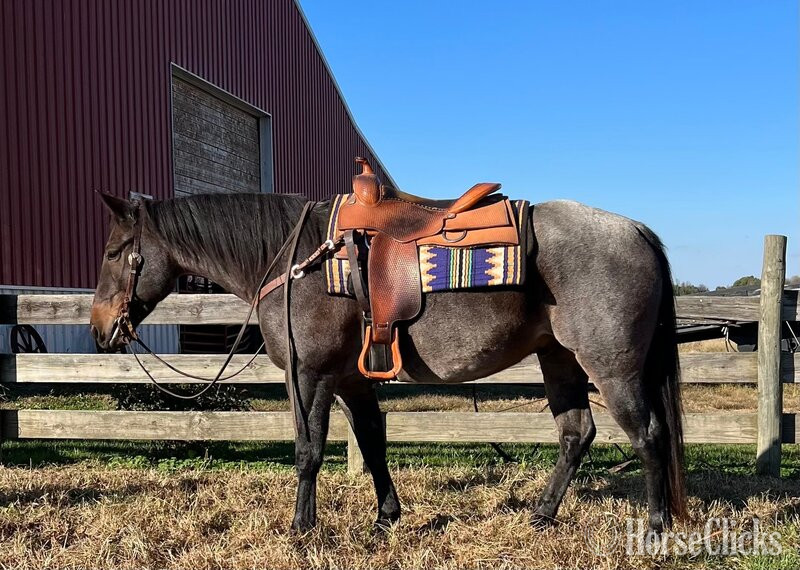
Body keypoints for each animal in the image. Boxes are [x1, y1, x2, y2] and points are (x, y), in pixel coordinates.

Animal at [90, 190, 686, 533]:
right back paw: (541, 516)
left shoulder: (309, 375)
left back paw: (657, 525)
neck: (294, 262)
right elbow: (372, 442)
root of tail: (635, 229)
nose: (100, 327)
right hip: (559, 359)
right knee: (576, 434)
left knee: (648, 435)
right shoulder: (351, 379)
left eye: (115, 252)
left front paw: (301, 530)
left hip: (611, 367)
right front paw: (385, 518)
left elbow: (308, 451)